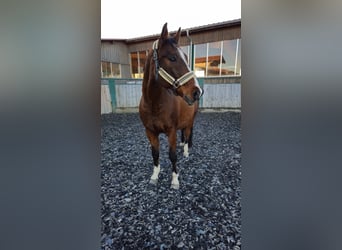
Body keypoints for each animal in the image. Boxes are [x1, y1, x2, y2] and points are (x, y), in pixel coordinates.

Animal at [139, 23, 203, 189]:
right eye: (172, 58)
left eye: (186, 57)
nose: (196, 92)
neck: (153, 103)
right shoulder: (150, 132)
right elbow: (155, 154)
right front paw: (154, 176)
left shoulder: (171, 131)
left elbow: (172, 155)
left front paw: (175, 180)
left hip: (190, 121)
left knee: (188, 133)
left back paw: (186, 151)